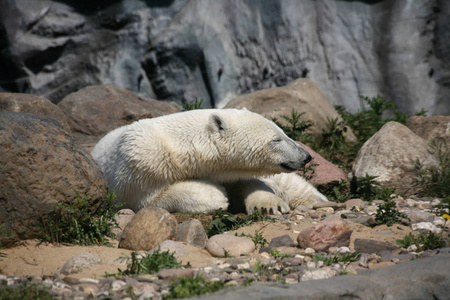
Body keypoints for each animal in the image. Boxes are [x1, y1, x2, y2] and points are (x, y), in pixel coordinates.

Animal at [91, 109, 326, 214]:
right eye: (276, 139)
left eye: (283, 132)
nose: (305, 156)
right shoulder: (142, 167)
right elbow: (151, 199)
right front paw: (217, 195)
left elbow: (250, 181)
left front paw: (269, 205)